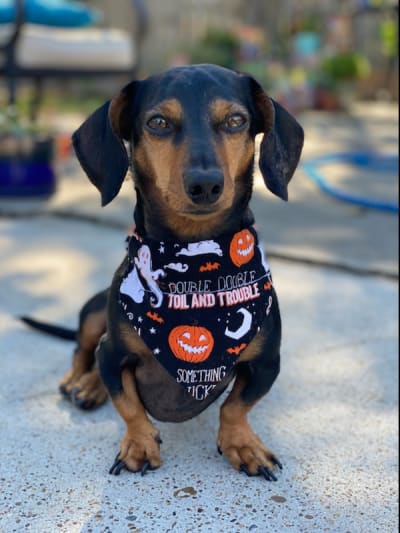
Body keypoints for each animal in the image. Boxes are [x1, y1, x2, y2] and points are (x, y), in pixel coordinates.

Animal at [22, 64, 304, 480]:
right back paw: (80, 382)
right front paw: (139, 443)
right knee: (83, 348)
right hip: (95, 312)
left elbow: (235, 406)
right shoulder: (114, 353)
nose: (205, 184)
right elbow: (128, 403)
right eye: (158, 122)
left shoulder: (267, 362)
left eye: (236, 120)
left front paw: (242, 443)